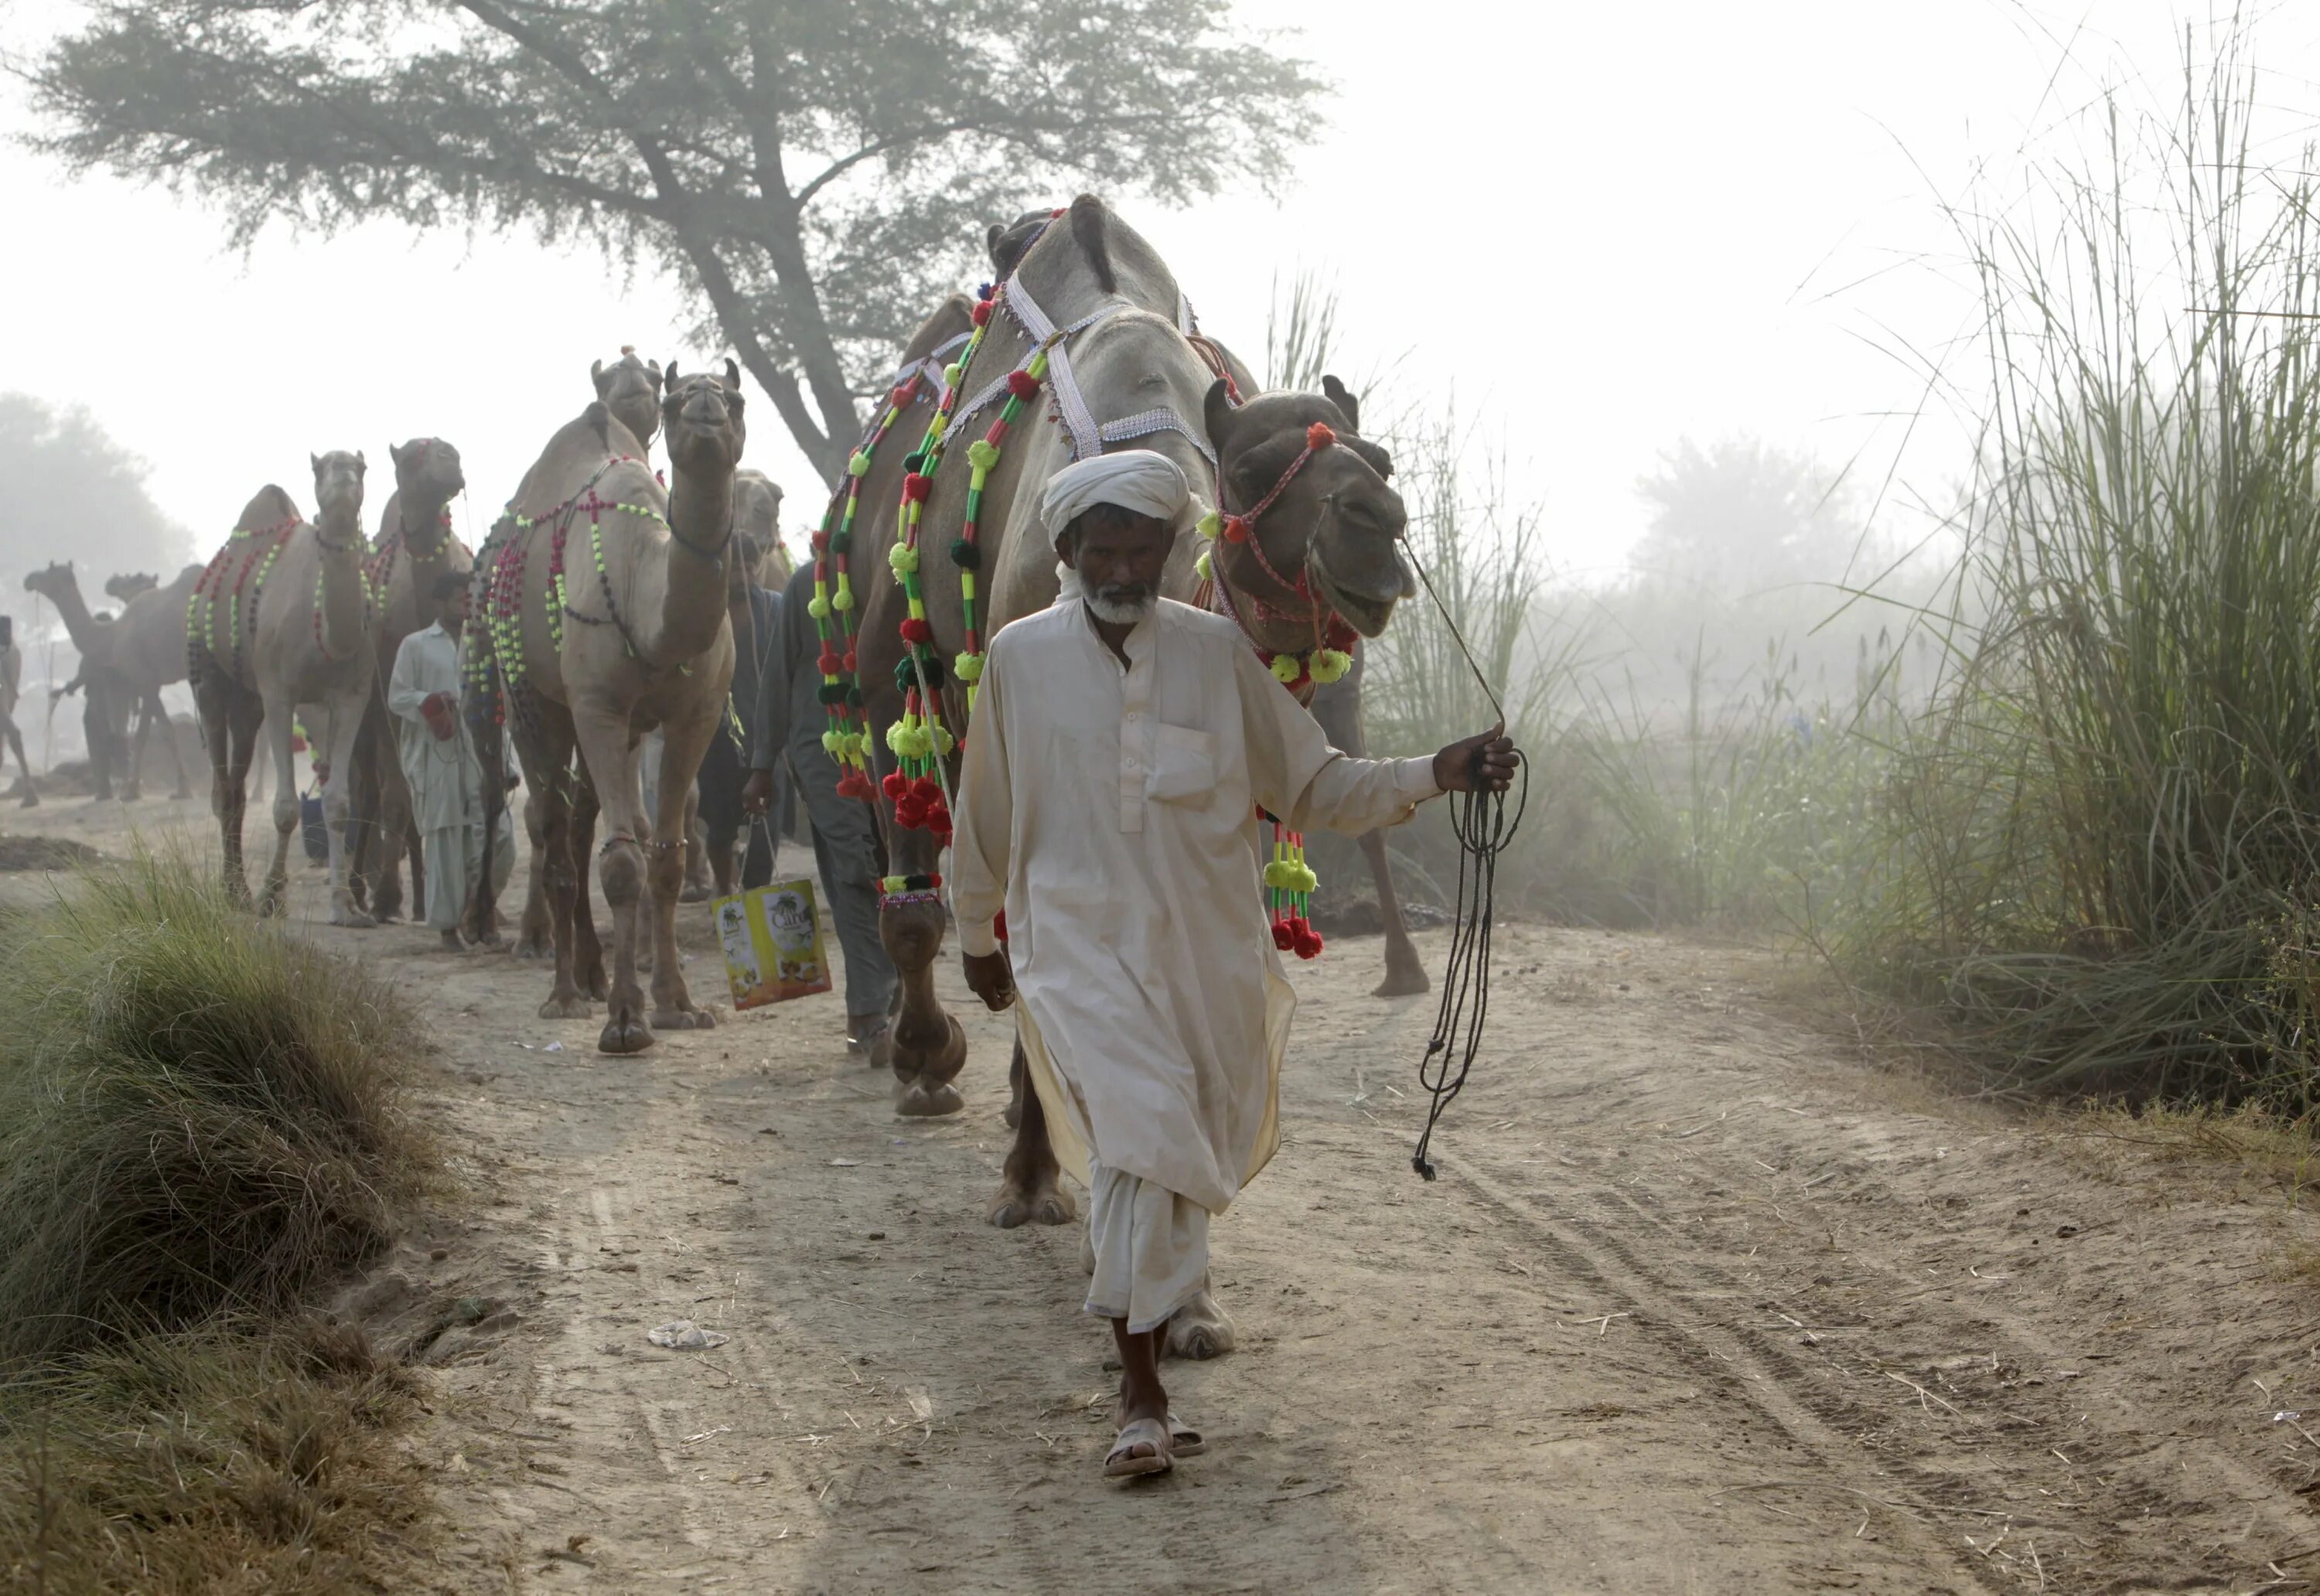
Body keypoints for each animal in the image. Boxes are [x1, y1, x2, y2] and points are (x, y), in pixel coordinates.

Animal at [188, 452, 376, 923]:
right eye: (321, 468)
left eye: (362, 467)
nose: (343, 477)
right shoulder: (279, 692)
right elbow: (287, 807)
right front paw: (271, 896)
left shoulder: (352, 695)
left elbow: (338, 803)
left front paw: (346, 906)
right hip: (209, 677)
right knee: (222, 787)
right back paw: (235, 891)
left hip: (248, 700)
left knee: (236, 787)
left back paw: (237, 888)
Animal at [346, 436, 469, 923]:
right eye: (414, 455)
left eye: (449, 448)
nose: (452, 462)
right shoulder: (386, 698)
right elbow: (396, 796)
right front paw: (385, 897)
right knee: (368, 790)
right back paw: (363, 890)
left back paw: (419, 897)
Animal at [471, 364, 752, 1058]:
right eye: (677, 402)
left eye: (734, 398)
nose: (704, 409)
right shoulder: (598, 705)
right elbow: (623, 861)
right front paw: (626, 1020)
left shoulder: (695, 715)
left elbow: (668, 855)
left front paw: (677, 1005)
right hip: (533, 699)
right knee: (553, 828)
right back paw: (566, 993)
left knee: (581, 822)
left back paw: (592, 976)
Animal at [844, 196, 1401, 1345]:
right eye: (1256, 472)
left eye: (1379, 456)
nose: (1377, 532)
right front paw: (1029, 1178)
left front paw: (1180, 1280)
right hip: (895, 663)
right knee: (918, 888)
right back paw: (927, 1068)